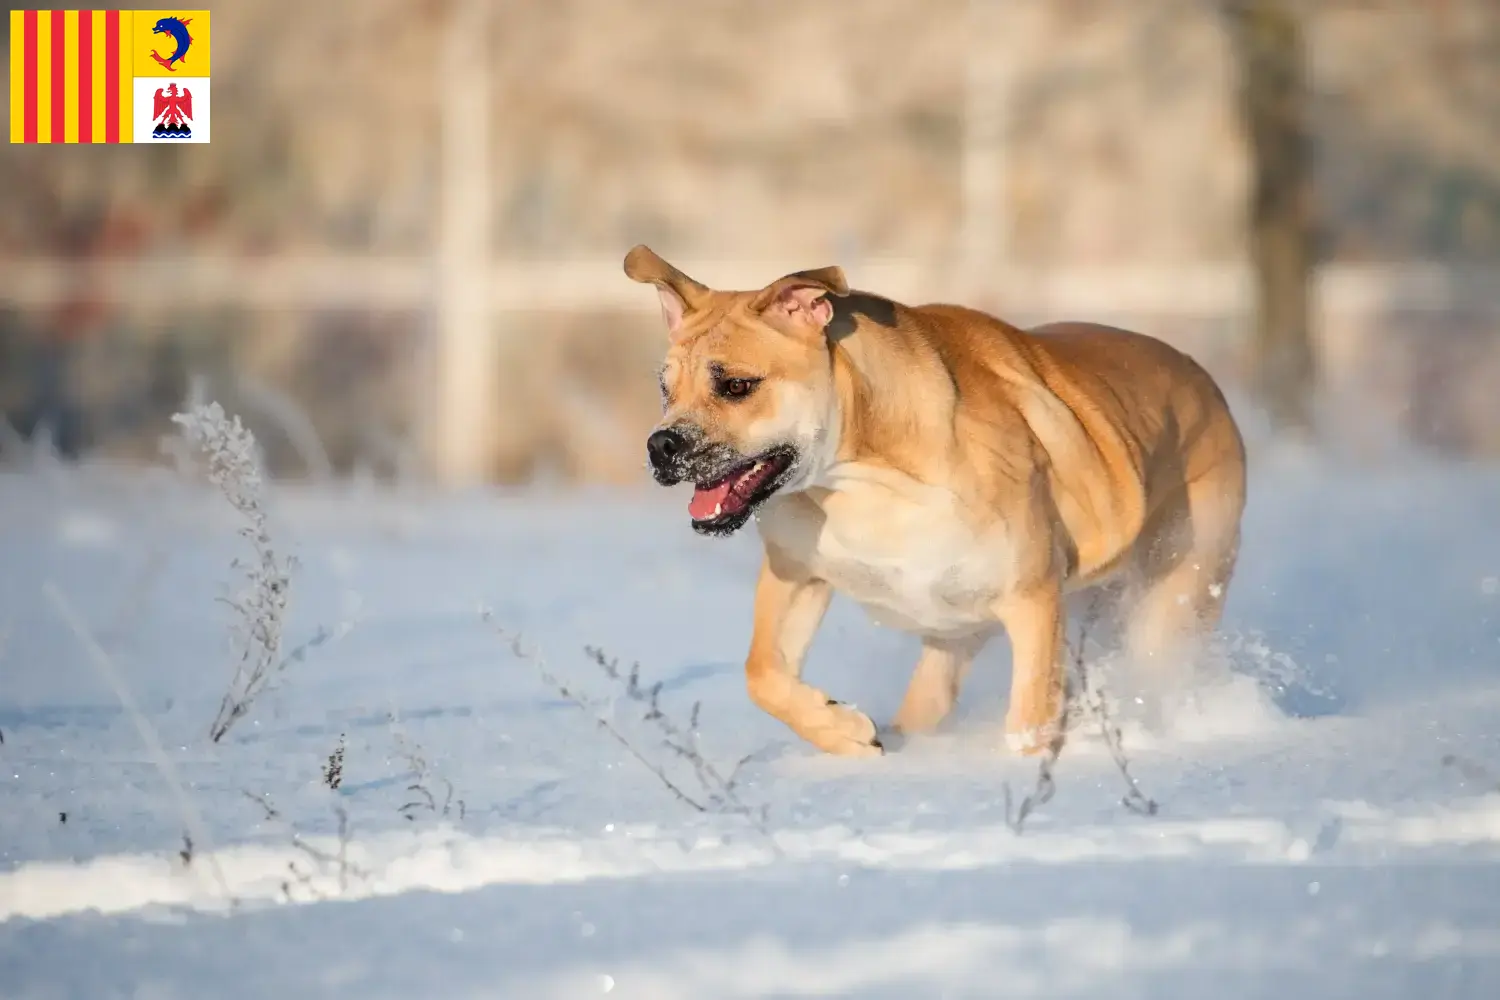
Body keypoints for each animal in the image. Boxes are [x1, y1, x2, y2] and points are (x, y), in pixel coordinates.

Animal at [627, 244, 1248, 758]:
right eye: (664, 388)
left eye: (736, 385)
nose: (662, 445)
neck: (860, 473)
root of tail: (1209, 385)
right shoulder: (798, 572)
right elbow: (761, 671)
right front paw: (844, 732)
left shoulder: (1032, 600)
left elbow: (1029, 720)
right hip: (955, 641)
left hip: (1172, 595)